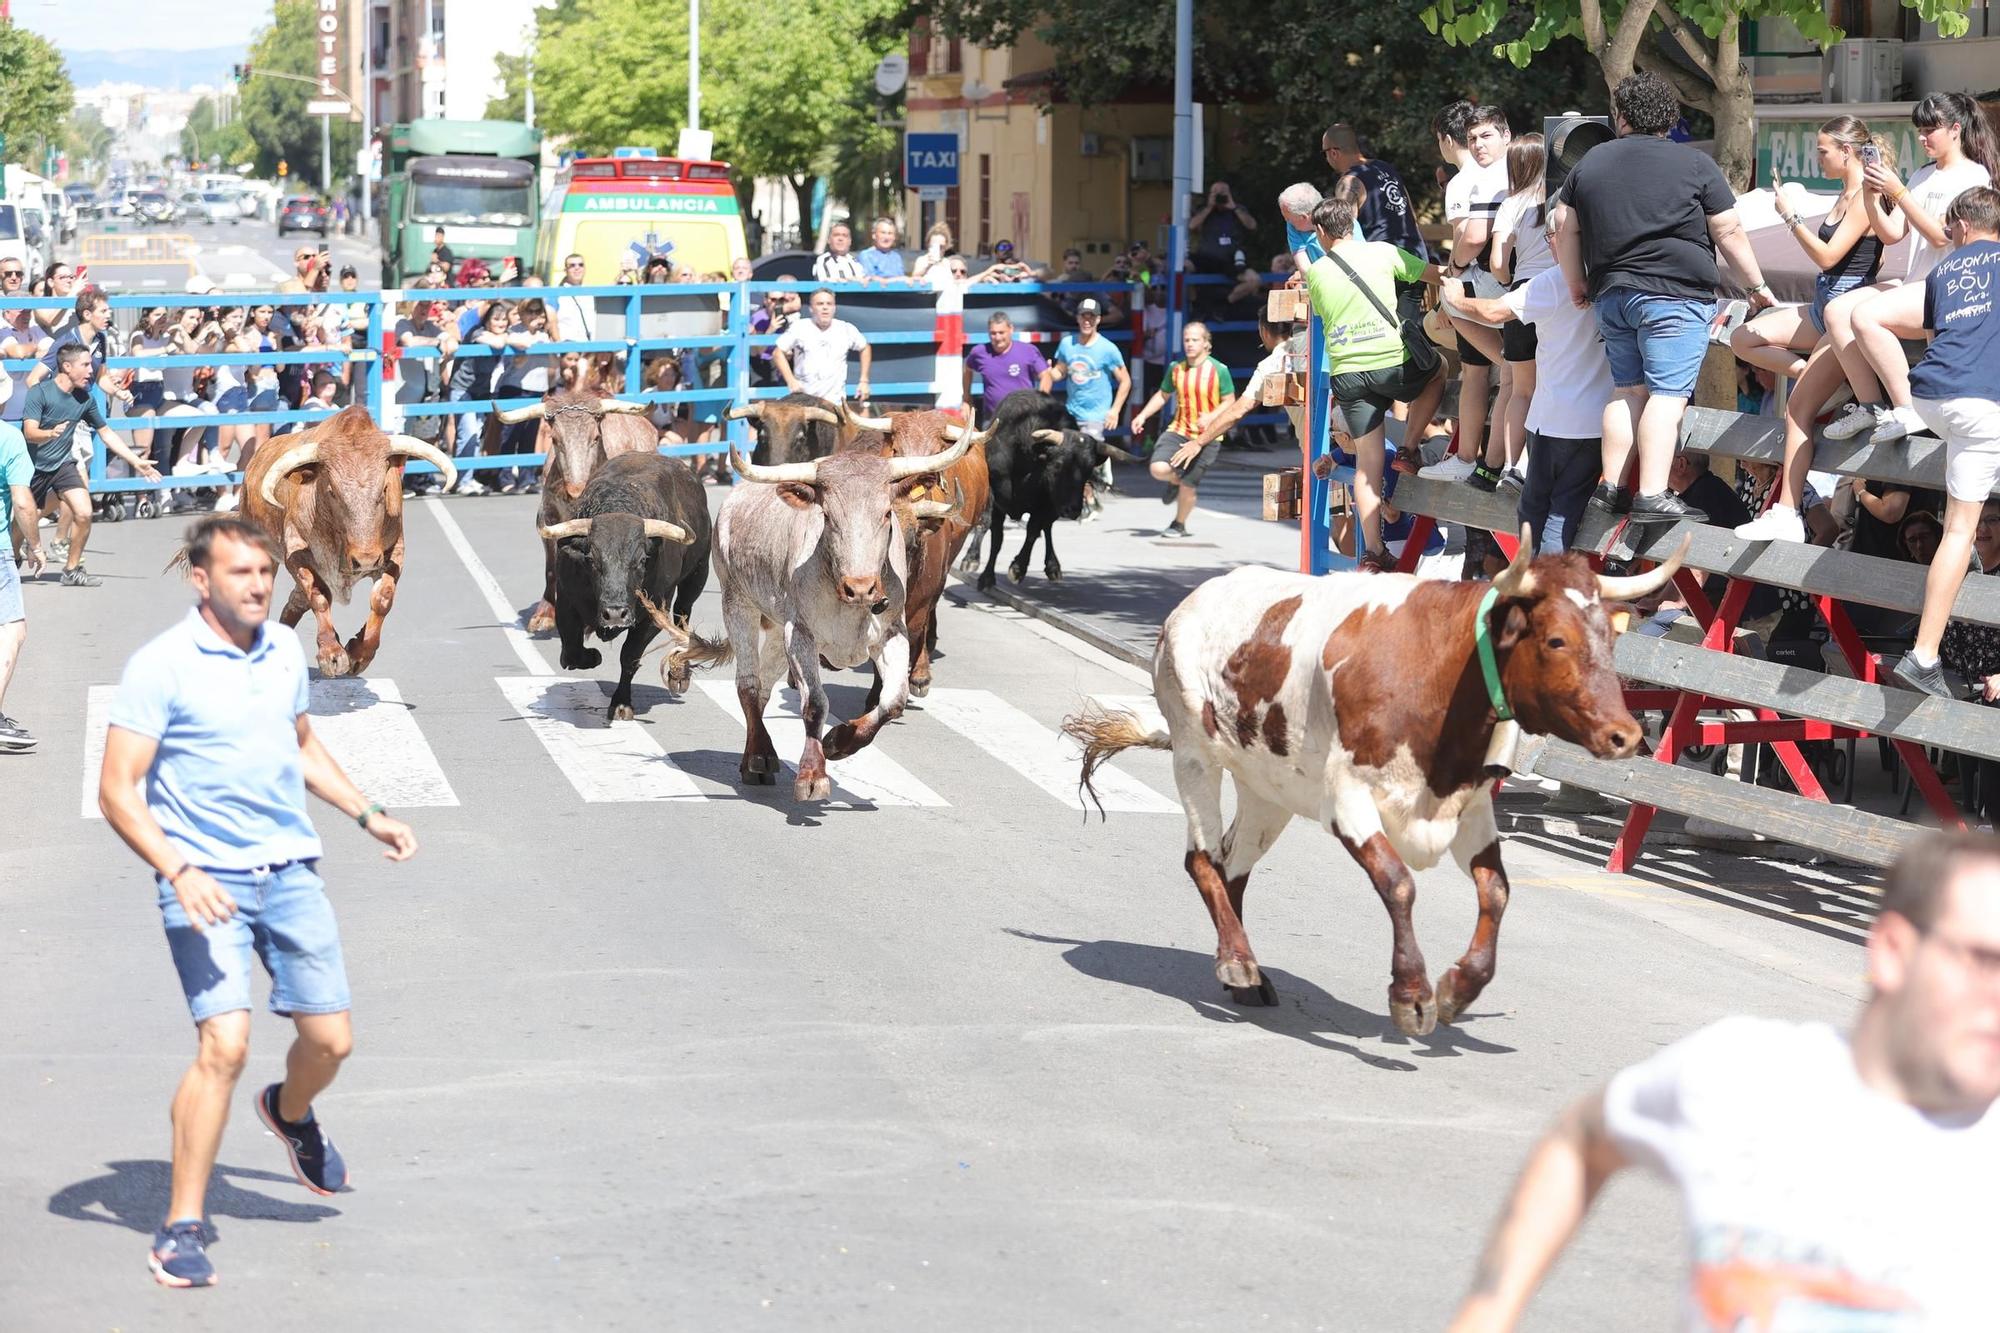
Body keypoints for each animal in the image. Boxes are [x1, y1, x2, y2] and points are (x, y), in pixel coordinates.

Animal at [242, 402, 460, 676]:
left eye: (384, 489)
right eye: (332, 491)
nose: (365, 559)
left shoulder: (394, 551)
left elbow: (382, 598)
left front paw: (358, 653)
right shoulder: (295, 552)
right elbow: (319, 595)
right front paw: (331, 654)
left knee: (295, 602)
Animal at [492, 384, 656, 632]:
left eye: (596, 437)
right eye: (554, 439)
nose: (575, 490)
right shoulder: (548, 519)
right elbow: (551, 569)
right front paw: (544, 614)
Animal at [676, 434, 972, 800]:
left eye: (886, 513)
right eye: (828, 516)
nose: (860, 587)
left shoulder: (893, 632)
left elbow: (893, 701)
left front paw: (840, 741)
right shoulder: (801, 633)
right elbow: (815, 703)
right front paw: (812, 775)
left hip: (777, 628)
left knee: (763, 689)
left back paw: (757, 757)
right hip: (738, 604)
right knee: (748, 685)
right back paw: (759, 757)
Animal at [1064, 536, 1688, 1032]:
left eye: (1610, 638)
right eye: (1556, 640)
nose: (1625, 735)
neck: (1438, 676)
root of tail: (1190, 604)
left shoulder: (1470, 805)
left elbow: (1497, 891)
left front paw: (1459, 989)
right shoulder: (1348, 798)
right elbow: (1399, 883)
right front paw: (1411, 995)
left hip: (1268, 788)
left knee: (1230, 867)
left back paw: (1245, 973)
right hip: (1196, 753)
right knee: (1202, 859)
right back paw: (1237, 963)